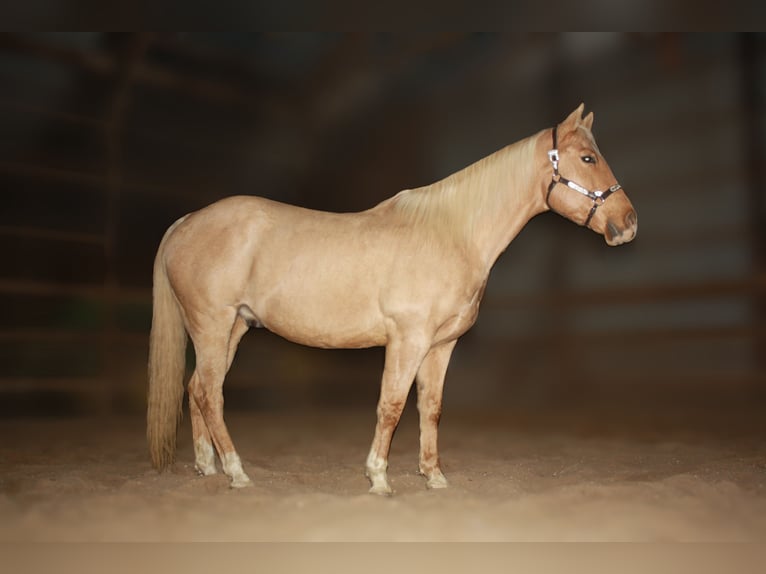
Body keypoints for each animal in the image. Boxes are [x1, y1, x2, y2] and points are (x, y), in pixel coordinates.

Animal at [147, 104, 640, 496]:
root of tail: (186, 222)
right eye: (588, 157)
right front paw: (379, 479)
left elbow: (430, 409)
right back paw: (237, 473)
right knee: (209, 392)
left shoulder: (441, 347)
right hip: (212, 325)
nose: (629, 223)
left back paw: (208, 468)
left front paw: (434, 477)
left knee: (196, 388)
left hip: (233, 328)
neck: (451, 233)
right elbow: (392, 406)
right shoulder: (408, 340)